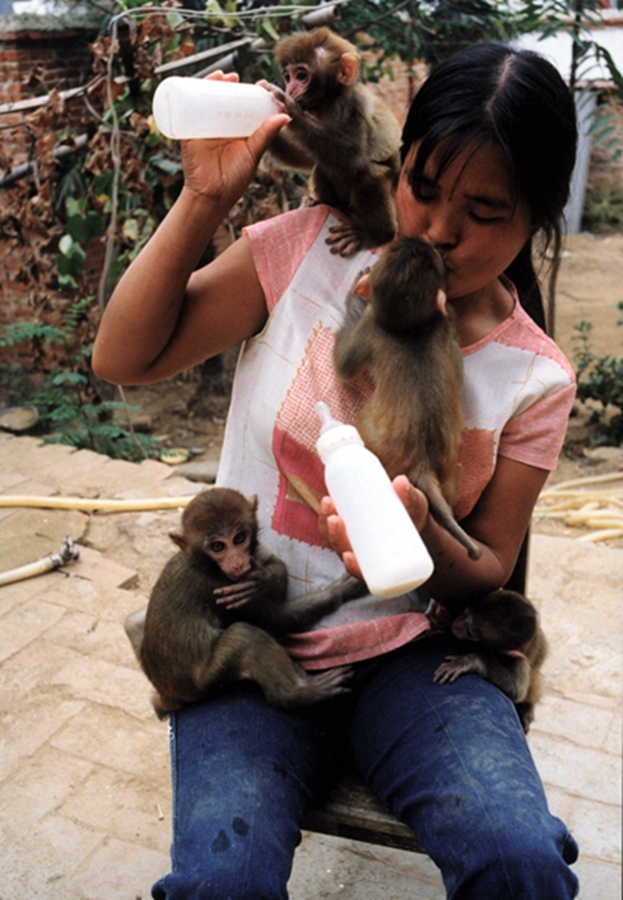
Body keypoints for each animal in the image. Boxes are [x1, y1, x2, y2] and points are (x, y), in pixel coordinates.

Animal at [126, 488, 366, 720]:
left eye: (239, 538)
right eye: (217, 546)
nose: (238, 563)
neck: (204, 564)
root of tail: (168, 695)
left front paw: (267, 577)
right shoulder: (221, 588)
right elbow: (275, 619)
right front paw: (339, 591)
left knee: (132, 621)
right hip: (207, 682)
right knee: (243, 636)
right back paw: (299, 693)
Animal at [262, 27, 400, 256]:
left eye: (301, 75)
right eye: (287, 77)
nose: (290, 90)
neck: (328, 102)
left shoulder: (352, 104)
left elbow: (354, 154)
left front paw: (290, 109)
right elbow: (307, 157)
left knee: (367, 170)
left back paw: (375, 233)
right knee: (322, 164)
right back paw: (317, 202)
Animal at [336, 236, 482, 560]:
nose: (427, 242)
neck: (412, 329)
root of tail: (422, 463)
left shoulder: (373, 325)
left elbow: (343, 365)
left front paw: (355, 302)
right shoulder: (445, 324)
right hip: (443, 464)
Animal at [432, 592, 548, 732]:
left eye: (469, 632)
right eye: (465, 612)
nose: (457, 624)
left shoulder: (519, 661)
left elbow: (517, 690)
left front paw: (472, 661)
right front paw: (446, 618)